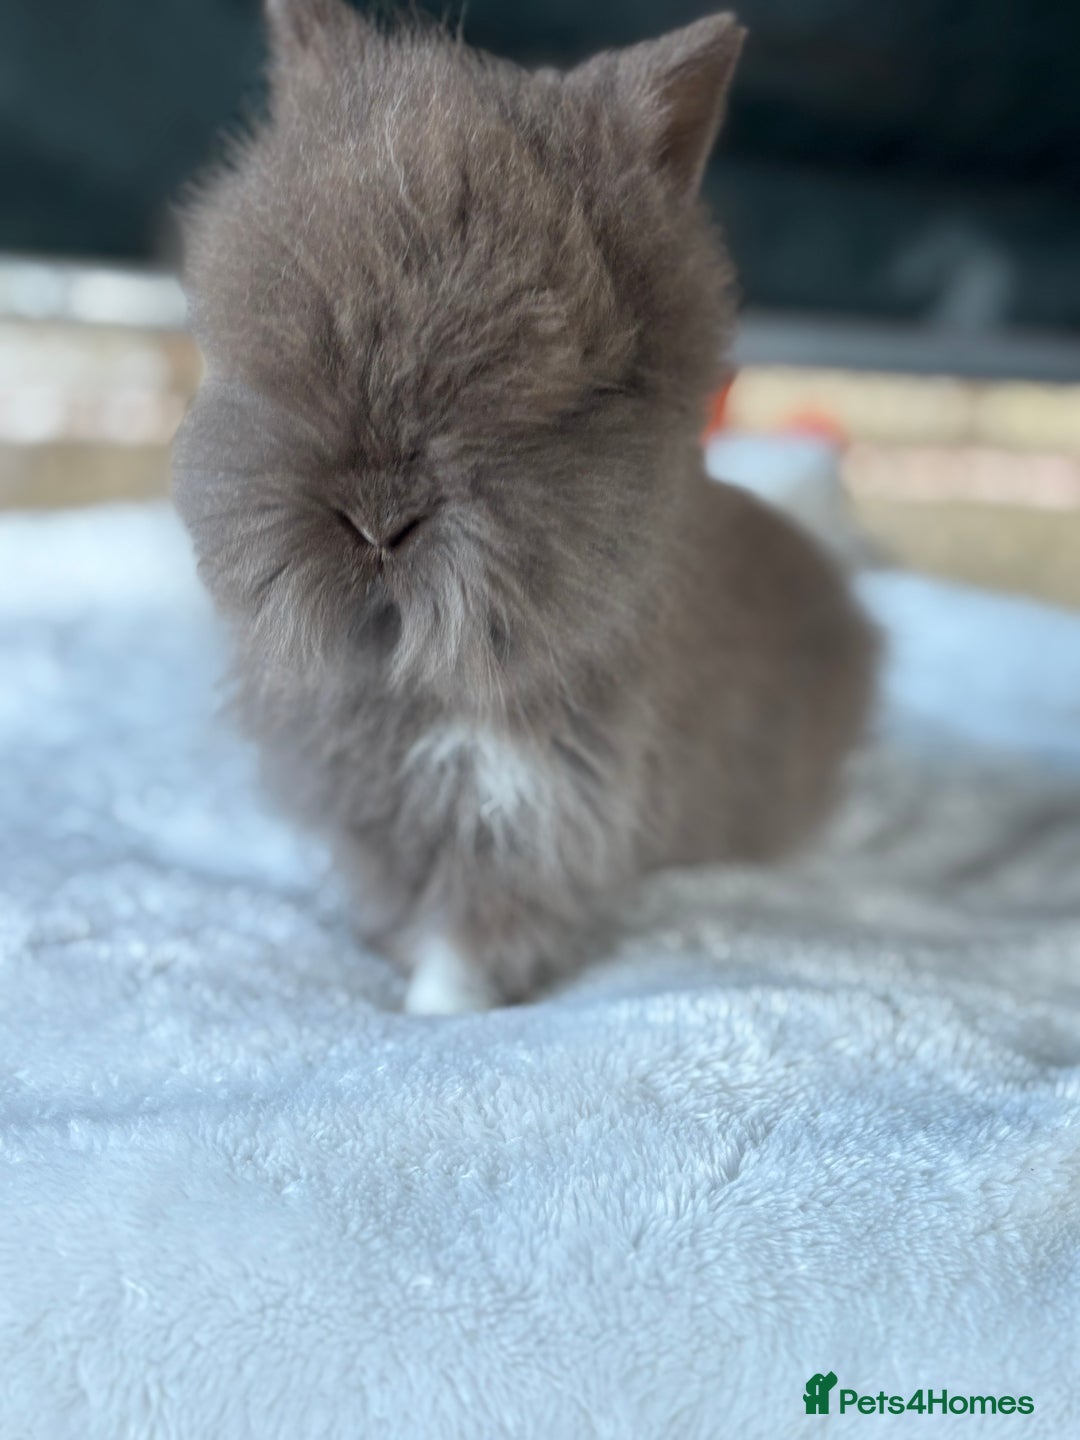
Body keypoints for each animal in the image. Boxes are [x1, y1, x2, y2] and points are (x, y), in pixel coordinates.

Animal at [172, 0, 878, 1012]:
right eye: (276, 354)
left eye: (563, 397)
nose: (378, 522)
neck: (412, 677)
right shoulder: (376, 812)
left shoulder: (531, 817)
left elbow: (467, 945)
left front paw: (428, 1016)